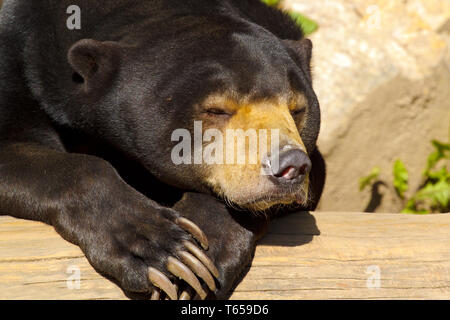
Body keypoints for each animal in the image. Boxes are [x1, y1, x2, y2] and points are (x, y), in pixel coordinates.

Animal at [0, 0, 324, 300]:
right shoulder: (19, 59)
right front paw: (161, 249)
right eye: (216, 109)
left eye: (296, 109)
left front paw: (197, 259)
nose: (291, 166)